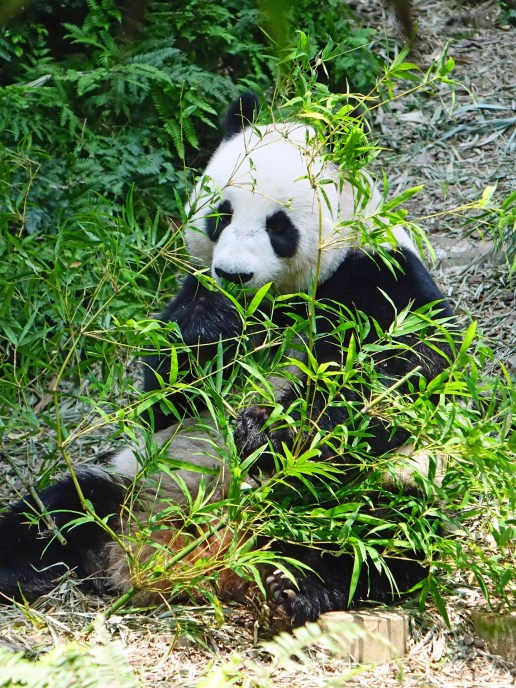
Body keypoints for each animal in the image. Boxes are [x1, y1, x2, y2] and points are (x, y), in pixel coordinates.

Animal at [0, 93, 455, 628]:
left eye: (278, 225)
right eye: (221, 215)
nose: (234, 274)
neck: (276, 303)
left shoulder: (378, 273)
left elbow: (397, 373)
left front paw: (264, 430)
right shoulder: (194, 287)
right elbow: (165, 394)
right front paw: (212, 324)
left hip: (370, 489)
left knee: (380, 532)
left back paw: (299, 586)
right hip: (138, 478)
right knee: (58, 508)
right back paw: (19, 567)